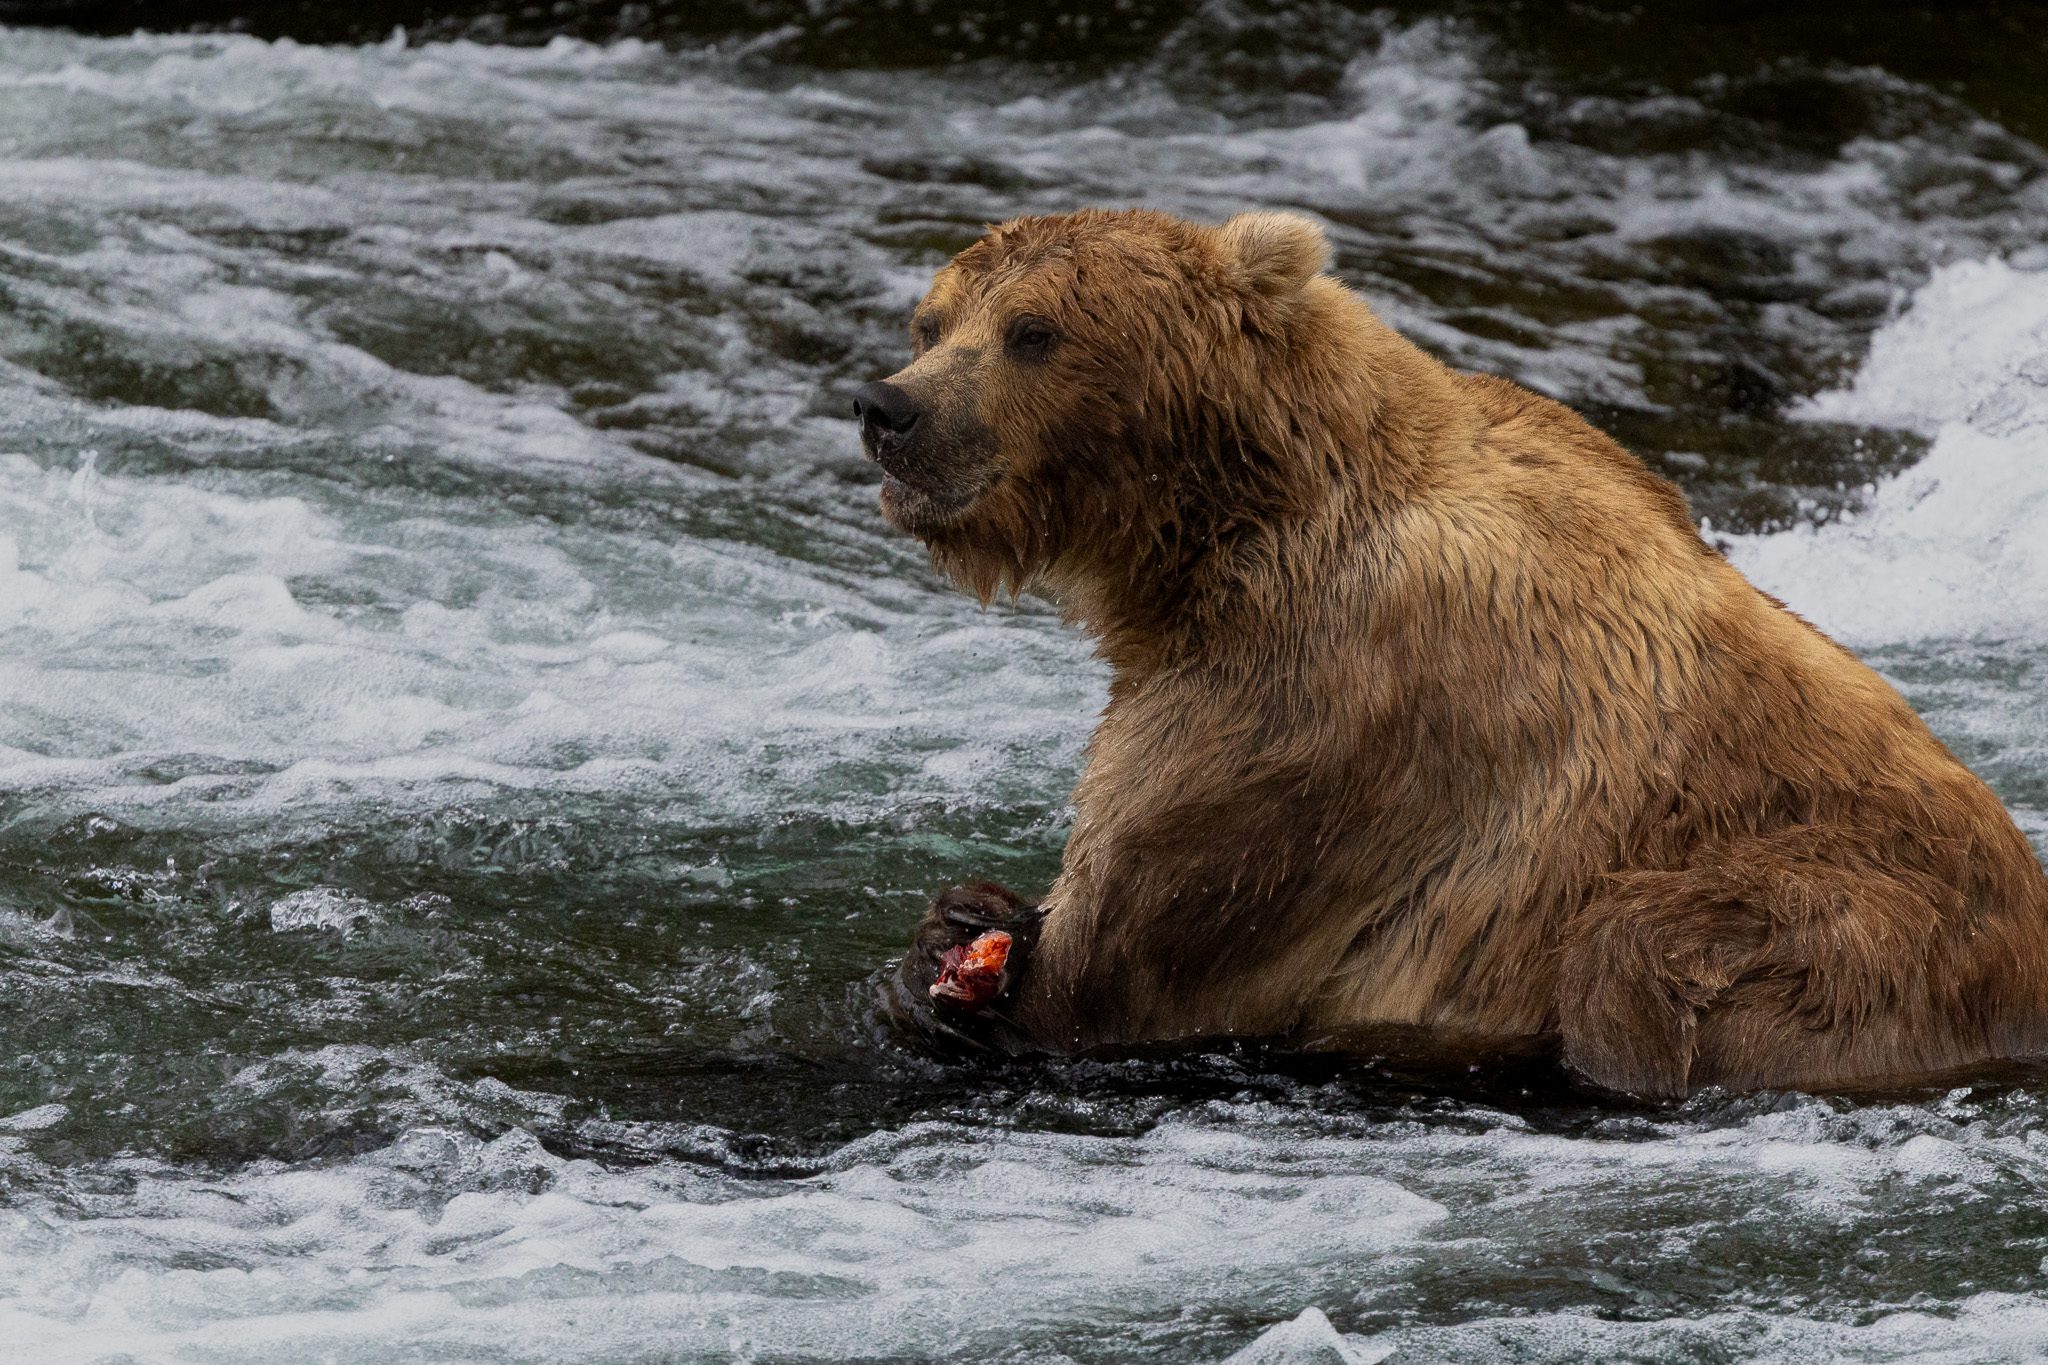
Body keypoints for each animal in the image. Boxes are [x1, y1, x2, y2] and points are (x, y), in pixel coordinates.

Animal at [850, 206, 2048, 1099]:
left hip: (1854, 931)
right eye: (932, 321)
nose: (888, 408)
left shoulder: (1310, 701)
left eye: (1034, 330)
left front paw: (985, 980)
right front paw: (958, 923)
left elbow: (1127, 963)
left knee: (1637, 954)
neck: (1219, 527)